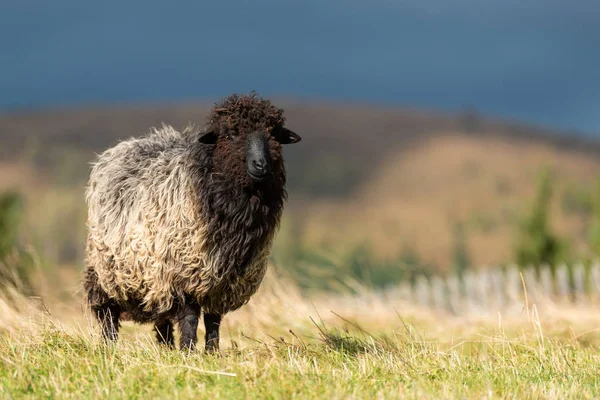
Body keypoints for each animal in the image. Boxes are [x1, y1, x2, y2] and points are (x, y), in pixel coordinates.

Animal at [82, 92, 302, 352]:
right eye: (230, 134)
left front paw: (212, 352)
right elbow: (189, 318)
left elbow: (213, 320)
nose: (260, 165)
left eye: (274, 134)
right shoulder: (184, 272)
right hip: (106, 268)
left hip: (153, 273)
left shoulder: (221, 283)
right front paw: (188, 350)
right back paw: (110, 346)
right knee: (108, 313)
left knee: (162, 317)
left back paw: (166, 347)